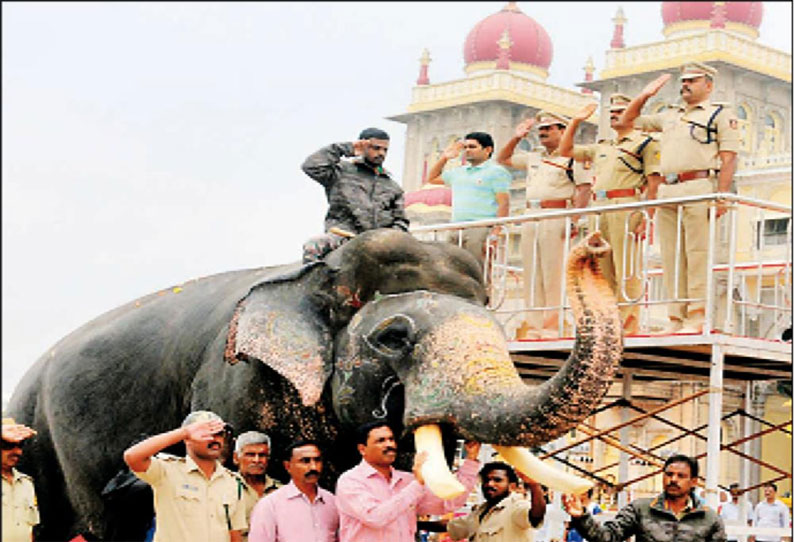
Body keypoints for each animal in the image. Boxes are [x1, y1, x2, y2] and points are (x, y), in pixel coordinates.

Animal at [7, 227, 624, 540]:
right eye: (393, 337)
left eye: (500, 331)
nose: (596, 245)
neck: (315, 277)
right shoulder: (237, 379)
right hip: (46, 436)